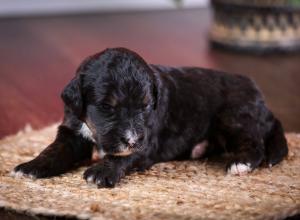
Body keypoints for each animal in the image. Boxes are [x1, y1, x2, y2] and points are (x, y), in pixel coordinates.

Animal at [13, 47, 288, 186]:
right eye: (107, 107)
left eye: (146, 106)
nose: (132, 139)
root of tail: (263, 101)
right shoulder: (72, 129)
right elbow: (54, 150)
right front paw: (31, 167)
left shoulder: (148, 140)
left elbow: (123, 156)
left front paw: (101, 171)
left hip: (233, 117)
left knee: (255, 143)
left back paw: (240, 163)